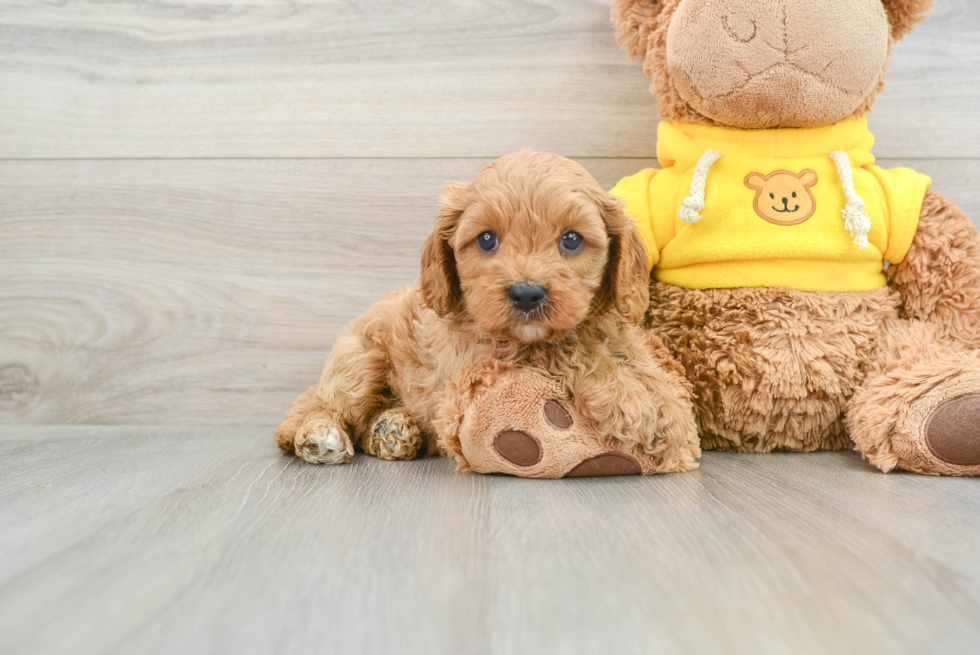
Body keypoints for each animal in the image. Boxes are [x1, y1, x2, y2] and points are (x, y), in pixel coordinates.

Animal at [276, 150, 700, 476]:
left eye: (571, 240)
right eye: (486, 240)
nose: (526, 294)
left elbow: (632, 354)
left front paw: (667, 404)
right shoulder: (486, 353)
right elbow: (566, 350)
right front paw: (634, 402)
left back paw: (393, 430)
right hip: (361, 361)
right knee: (316, 403)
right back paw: (317, 436)